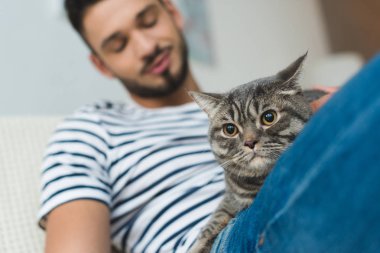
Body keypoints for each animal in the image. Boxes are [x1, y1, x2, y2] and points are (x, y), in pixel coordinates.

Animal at [188, 53, 324, 253]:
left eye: (269, 117)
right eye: (230, 129)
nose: (250, 142)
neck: (257, 185)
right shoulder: (229, 198)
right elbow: (213, 222)